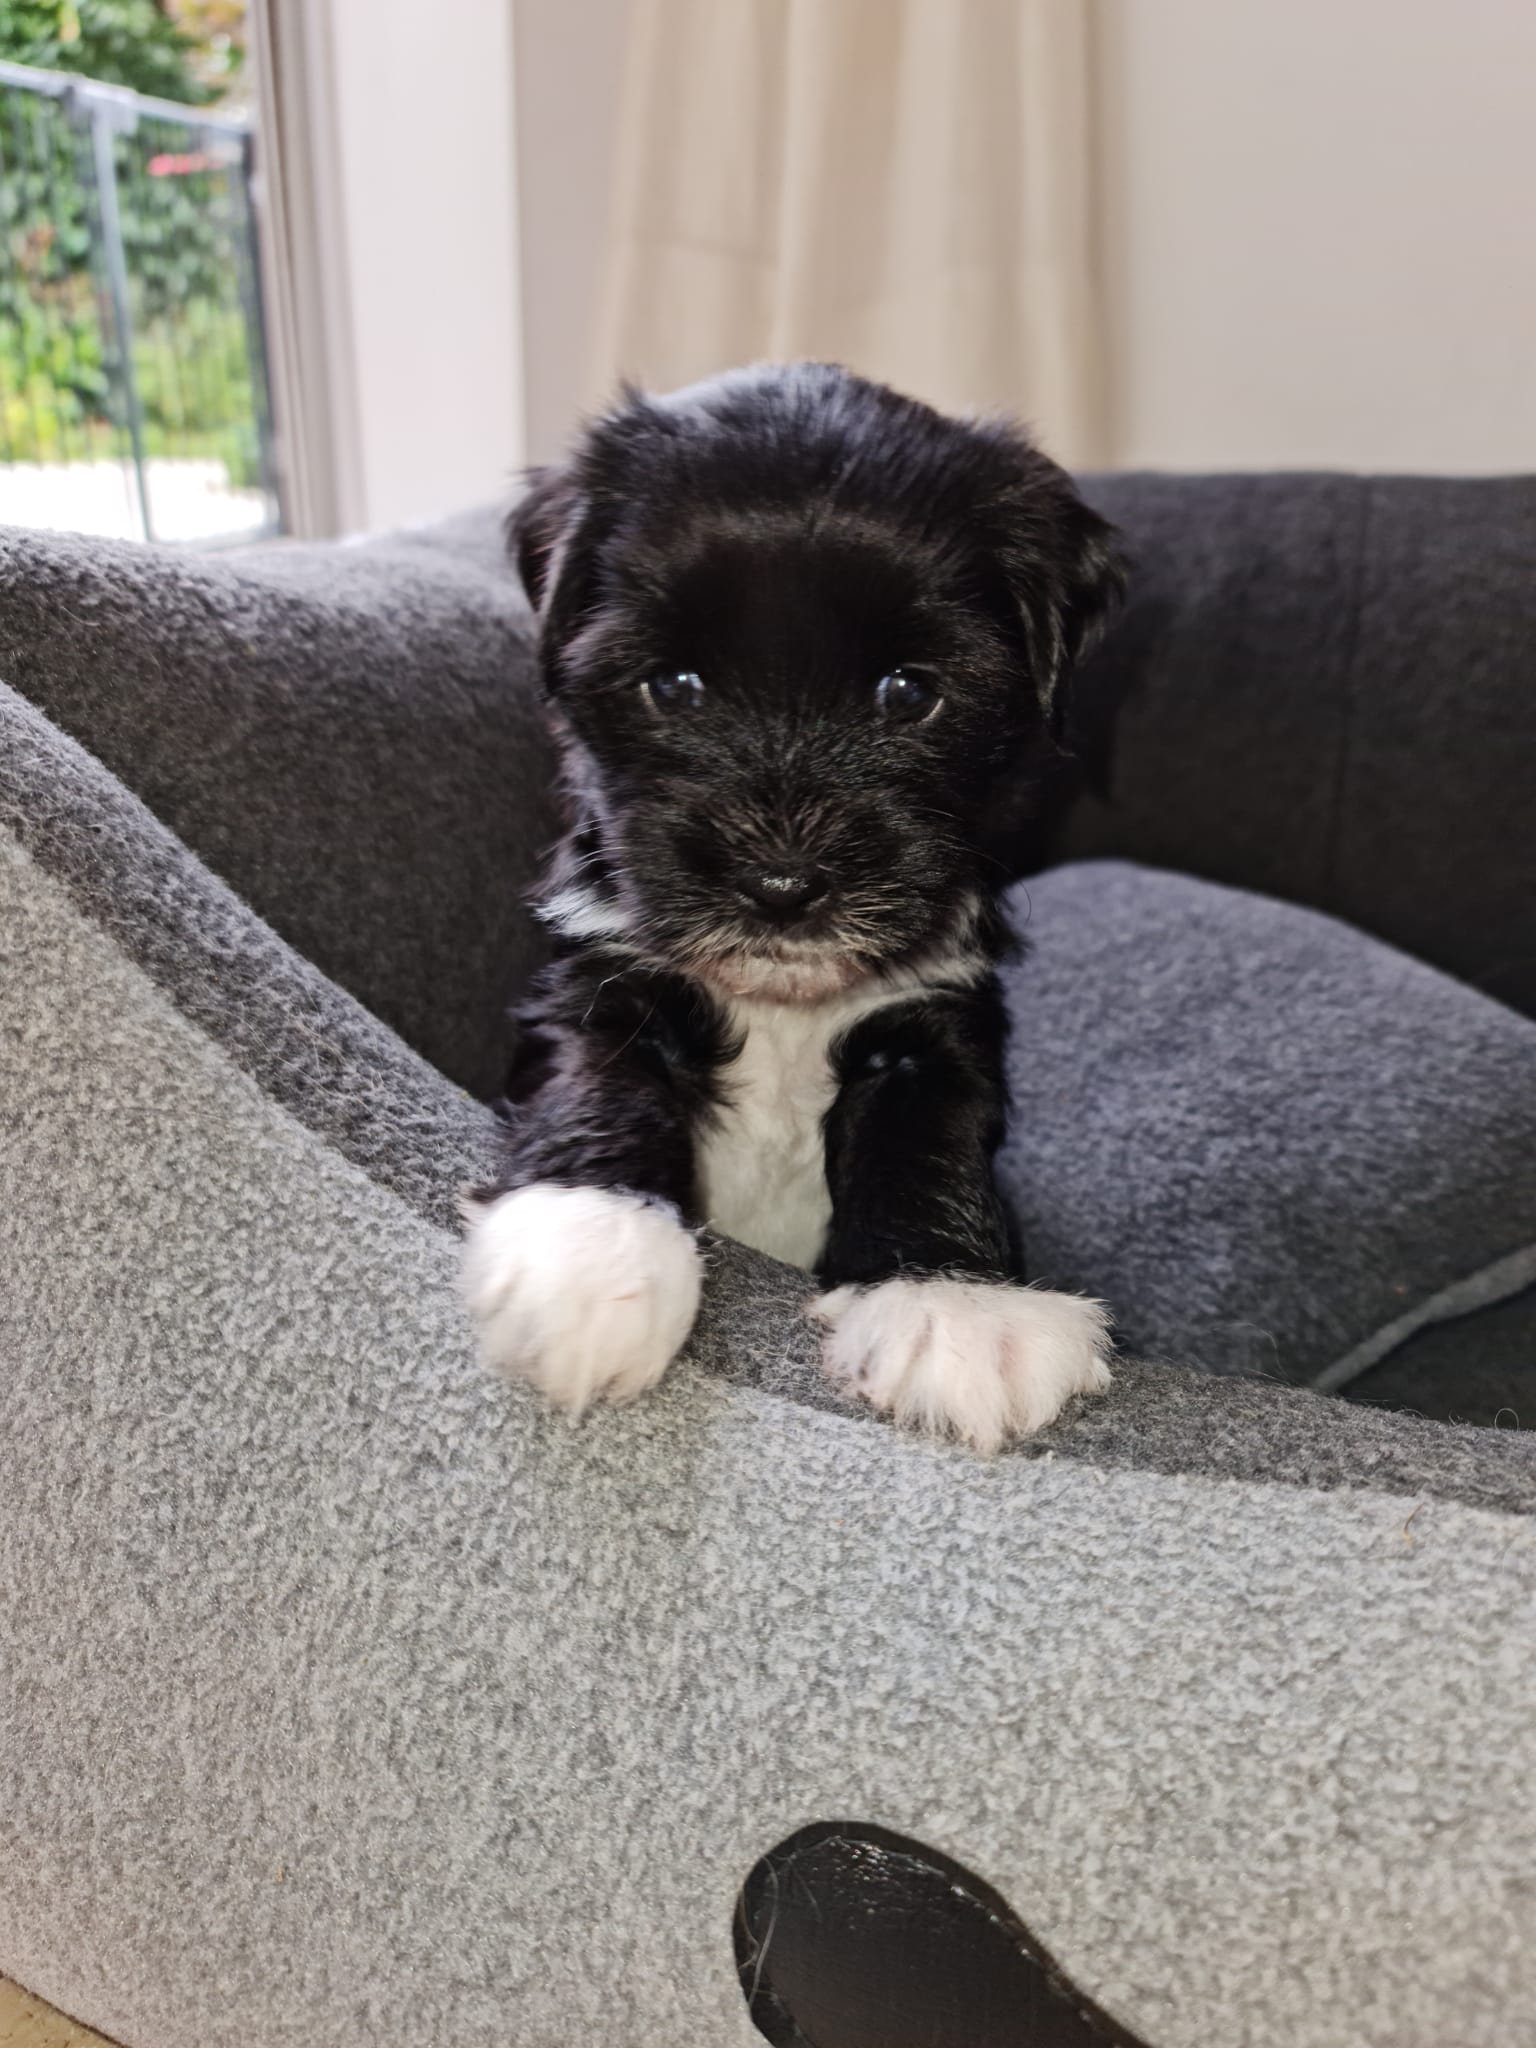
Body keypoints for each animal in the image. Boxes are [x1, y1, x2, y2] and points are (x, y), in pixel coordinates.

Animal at [462, 363, 1123, 1452]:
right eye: (675, 685)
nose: (781, 883)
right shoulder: (599, 971)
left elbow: (928, 1130)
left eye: (908, 691)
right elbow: (596, 1074)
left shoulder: (938, 1015)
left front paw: (954, 1303)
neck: (781, 1006)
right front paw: (590, 1248)